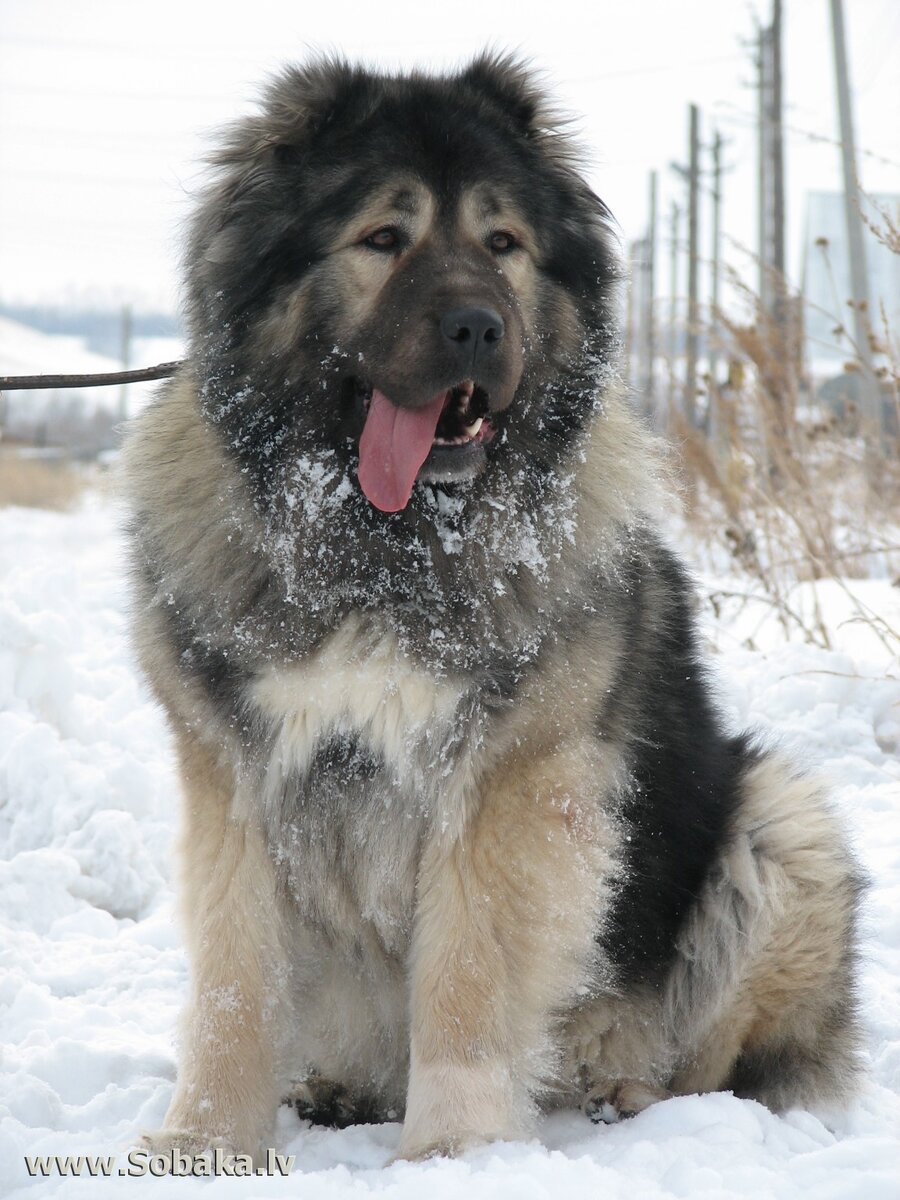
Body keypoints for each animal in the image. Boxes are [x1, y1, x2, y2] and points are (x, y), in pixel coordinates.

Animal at [123, 56, 864, 1161]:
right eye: (385, 238)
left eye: (503, 244)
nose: (478, 327)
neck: (387, 551)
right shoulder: (237, 779)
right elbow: (235, 986)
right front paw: (204, 1144)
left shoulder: (506, 788)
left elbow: (466, 981)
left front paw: (452, 1155)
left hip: (781, 828)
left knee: (708, 1059)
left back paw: (626, 1094)